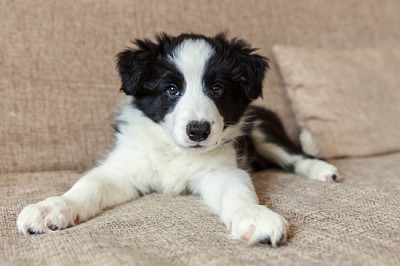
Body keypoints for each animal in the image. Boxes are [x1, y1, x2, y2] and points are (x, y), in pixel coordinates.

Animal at [17, 33, 340, 247]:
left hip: (262, 128)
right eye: (171, 89)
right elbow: (88, 185)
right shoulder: (123, 170)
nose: (198, 131)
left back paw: (322, 171)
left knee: (297, 154)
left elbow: (238, 193)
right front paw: (51, 208)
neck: (175, 151)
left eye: (217, 89)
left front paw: (255, 217)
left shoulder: (222, 171)